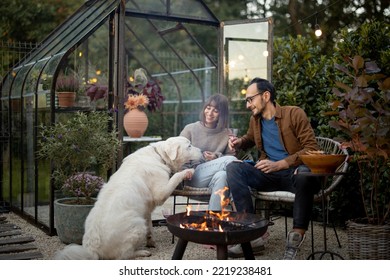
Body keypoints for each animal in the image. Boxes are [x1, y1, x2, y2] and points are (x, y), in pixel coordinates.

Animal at [54, 137, 201, 260]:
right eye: (189, 146)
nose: (201, 150)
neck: (159, 156)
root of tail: (92, 249)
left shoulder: (146, 210)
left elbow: (150, 226)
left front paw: (151, 241)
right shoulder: (161, 192)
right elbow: (175, 177)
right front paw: (187, 172)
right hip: (137, 226)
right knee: (124, 255)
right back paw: (141, 252)